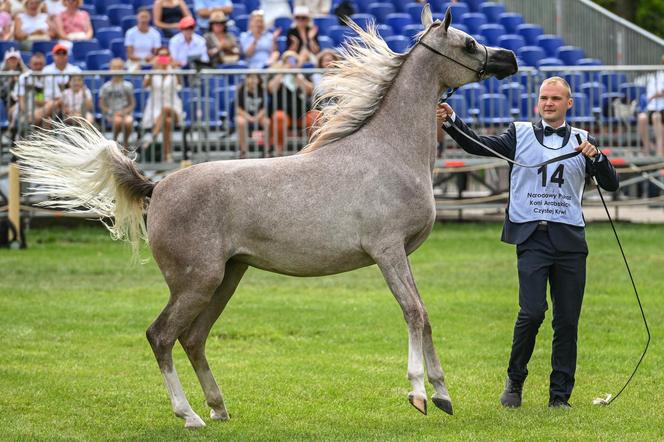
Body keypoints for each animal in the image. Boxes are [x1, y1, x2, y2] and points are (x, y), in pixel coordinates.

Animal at [11, 5, 520, 428]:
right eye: (468, 43)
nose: (510, 58)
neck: (387, 150)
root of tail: (158, 186)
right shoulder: (387, 251)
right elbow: (413, 312)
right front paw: (418, 393)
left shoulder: (403, 256)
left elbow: (425, 316)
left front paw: (443, 395)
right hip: (197, 281)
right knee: (161, 336)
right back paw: (189, 415)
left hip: (226, 277)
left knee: (193, 338)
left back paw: (218, 408)